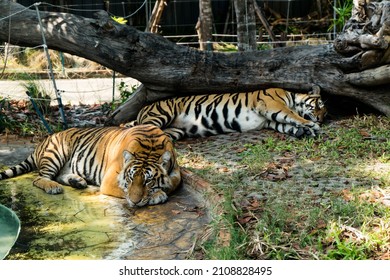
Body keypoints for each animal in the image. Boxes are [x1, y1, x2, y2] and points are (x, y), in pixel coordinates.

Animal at [0, 124, 182, 208]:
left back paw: (77, 181)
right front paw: (158, 195)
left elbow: (173, 182)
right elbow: (125, 190)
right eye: (130, 178)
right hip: (57, 152)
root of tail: (44, 140)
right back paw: (53, 187)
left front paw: (160, 190)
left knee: (59, 175)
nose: (135, 202)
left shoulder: (176, 172)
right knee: (39, 178)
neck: (150, 147)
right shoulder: (109, 180)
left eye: (148, 181)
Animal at [122, 87, 326, 140]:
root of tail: (141, 110)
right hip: (161, 114)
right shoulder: (273, 105)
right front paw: (311, 126)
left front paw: (302, 131)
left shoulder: (269, 120)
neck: (292, 96)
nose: (322, 119)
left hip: (174, 131)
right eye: (320, 105)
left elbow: (285, 124)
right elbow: (291, 115)